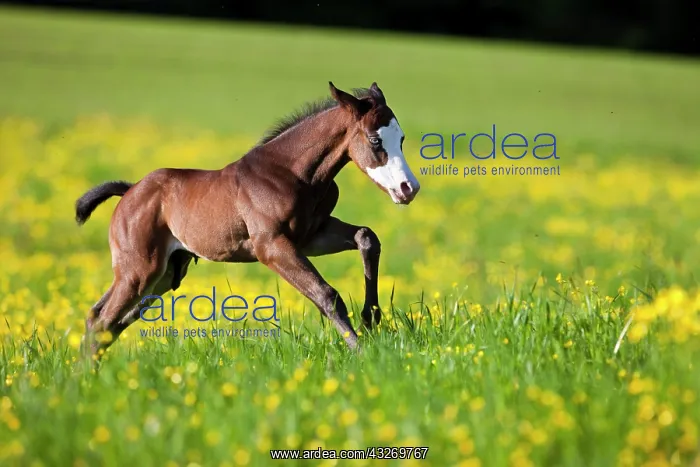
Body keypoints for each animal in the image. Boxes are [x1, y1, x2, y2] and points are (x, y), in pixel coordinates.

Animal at [75, 82, 421, 358]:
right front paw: (362, 353)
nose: (409, 188)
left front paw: (371, 318)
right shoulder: (271, 246)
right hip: (138, 270)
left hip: (163, 274)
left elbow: (367, 237)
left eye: (402, 138)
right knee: (103, 319)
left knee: (106, 320)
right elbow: (327, 295)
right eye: (375, 140)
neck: (293, 174)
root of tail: (130, 191)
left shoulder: (312, 235)